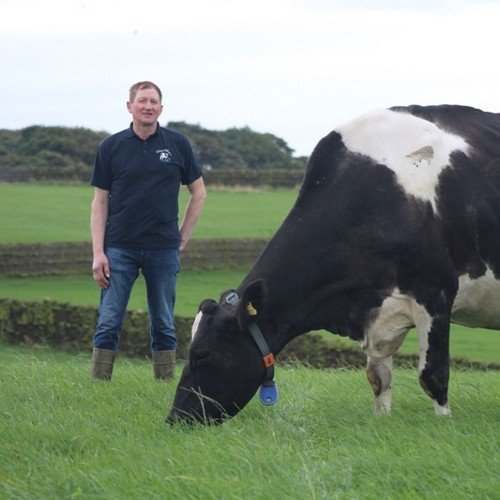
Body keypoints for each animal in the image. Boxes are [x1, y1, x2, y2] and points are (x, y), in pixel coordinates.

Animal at [169, 103, 500, 424]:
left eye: (200, 354)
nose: (176, 418)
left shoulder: (435, 292)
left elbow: (433, 375)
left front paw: (444, 423)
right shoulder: (374, 311)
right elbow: (377, 377)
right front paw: (382, 420)